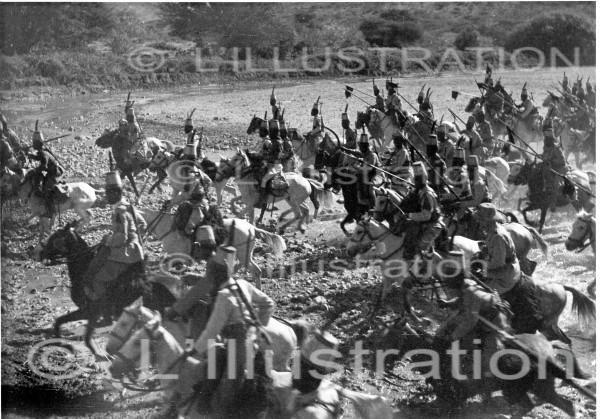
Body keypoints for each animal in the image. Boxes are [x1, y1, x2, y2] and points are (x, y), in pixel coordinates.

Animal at [35, 221, 177, 356]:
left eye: (55, 238)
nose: (41, 254)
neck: (83, 268)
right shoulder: (91, 313)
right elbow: (64, 323)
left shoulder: (89, 311)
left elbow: (73, 327)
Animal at [142, 207, 288, 288]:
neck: (169, 228)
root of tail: (251, 228)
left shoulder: (177, 256)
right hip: (244, 254)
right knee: (243, 266)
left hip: (243, 254)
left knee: (256, 270)